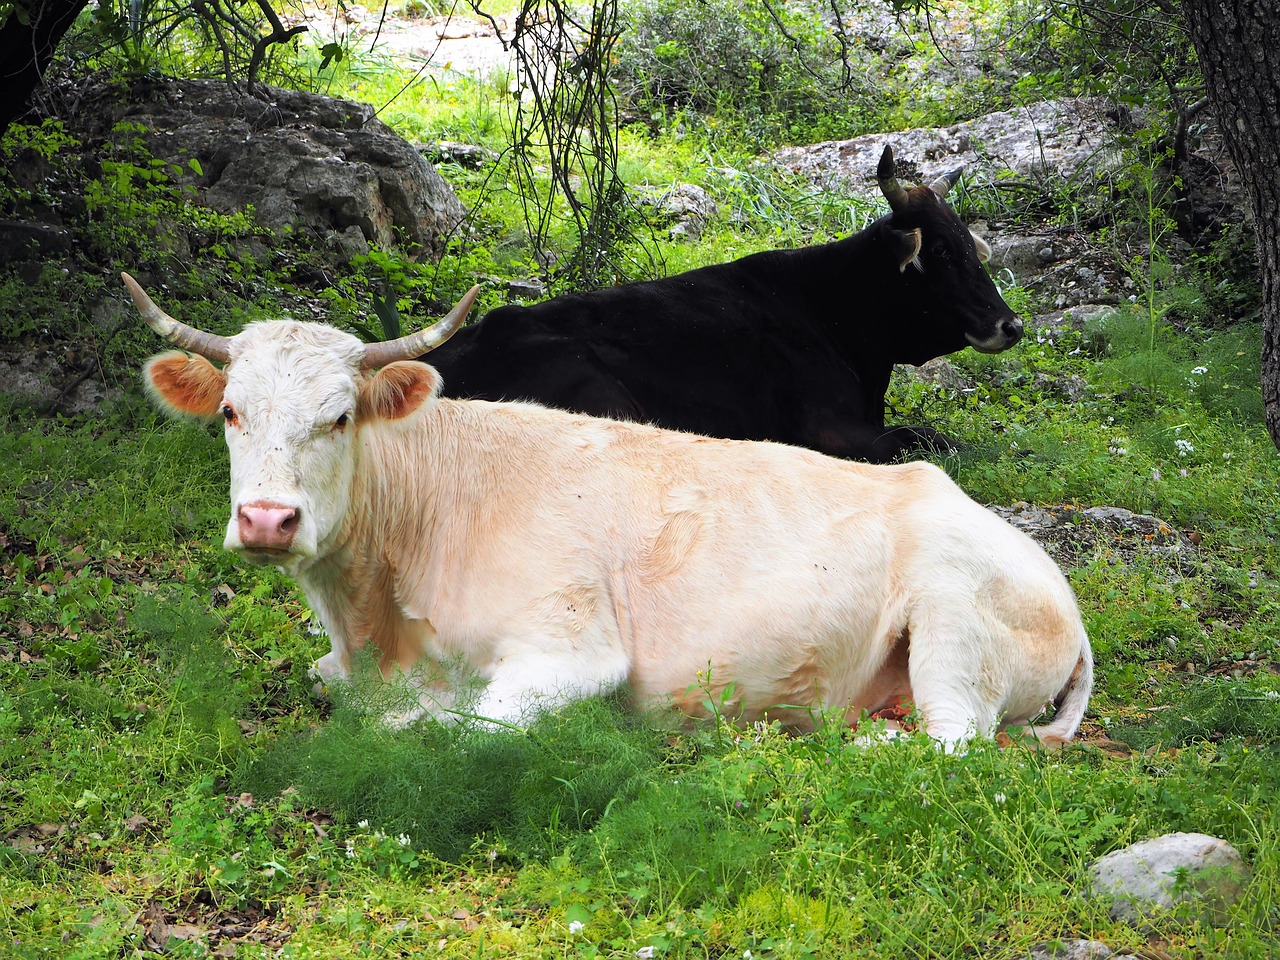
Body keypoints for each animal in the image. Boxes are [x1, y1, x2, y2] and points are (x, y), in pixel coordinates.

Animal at [127, 273, 1090, 747]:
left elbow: (449, 728)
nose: (267, 520)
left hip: (955, 630)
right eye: (230, 412)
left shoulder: (570, 652)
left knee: (953, 743)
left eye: (338, 416)